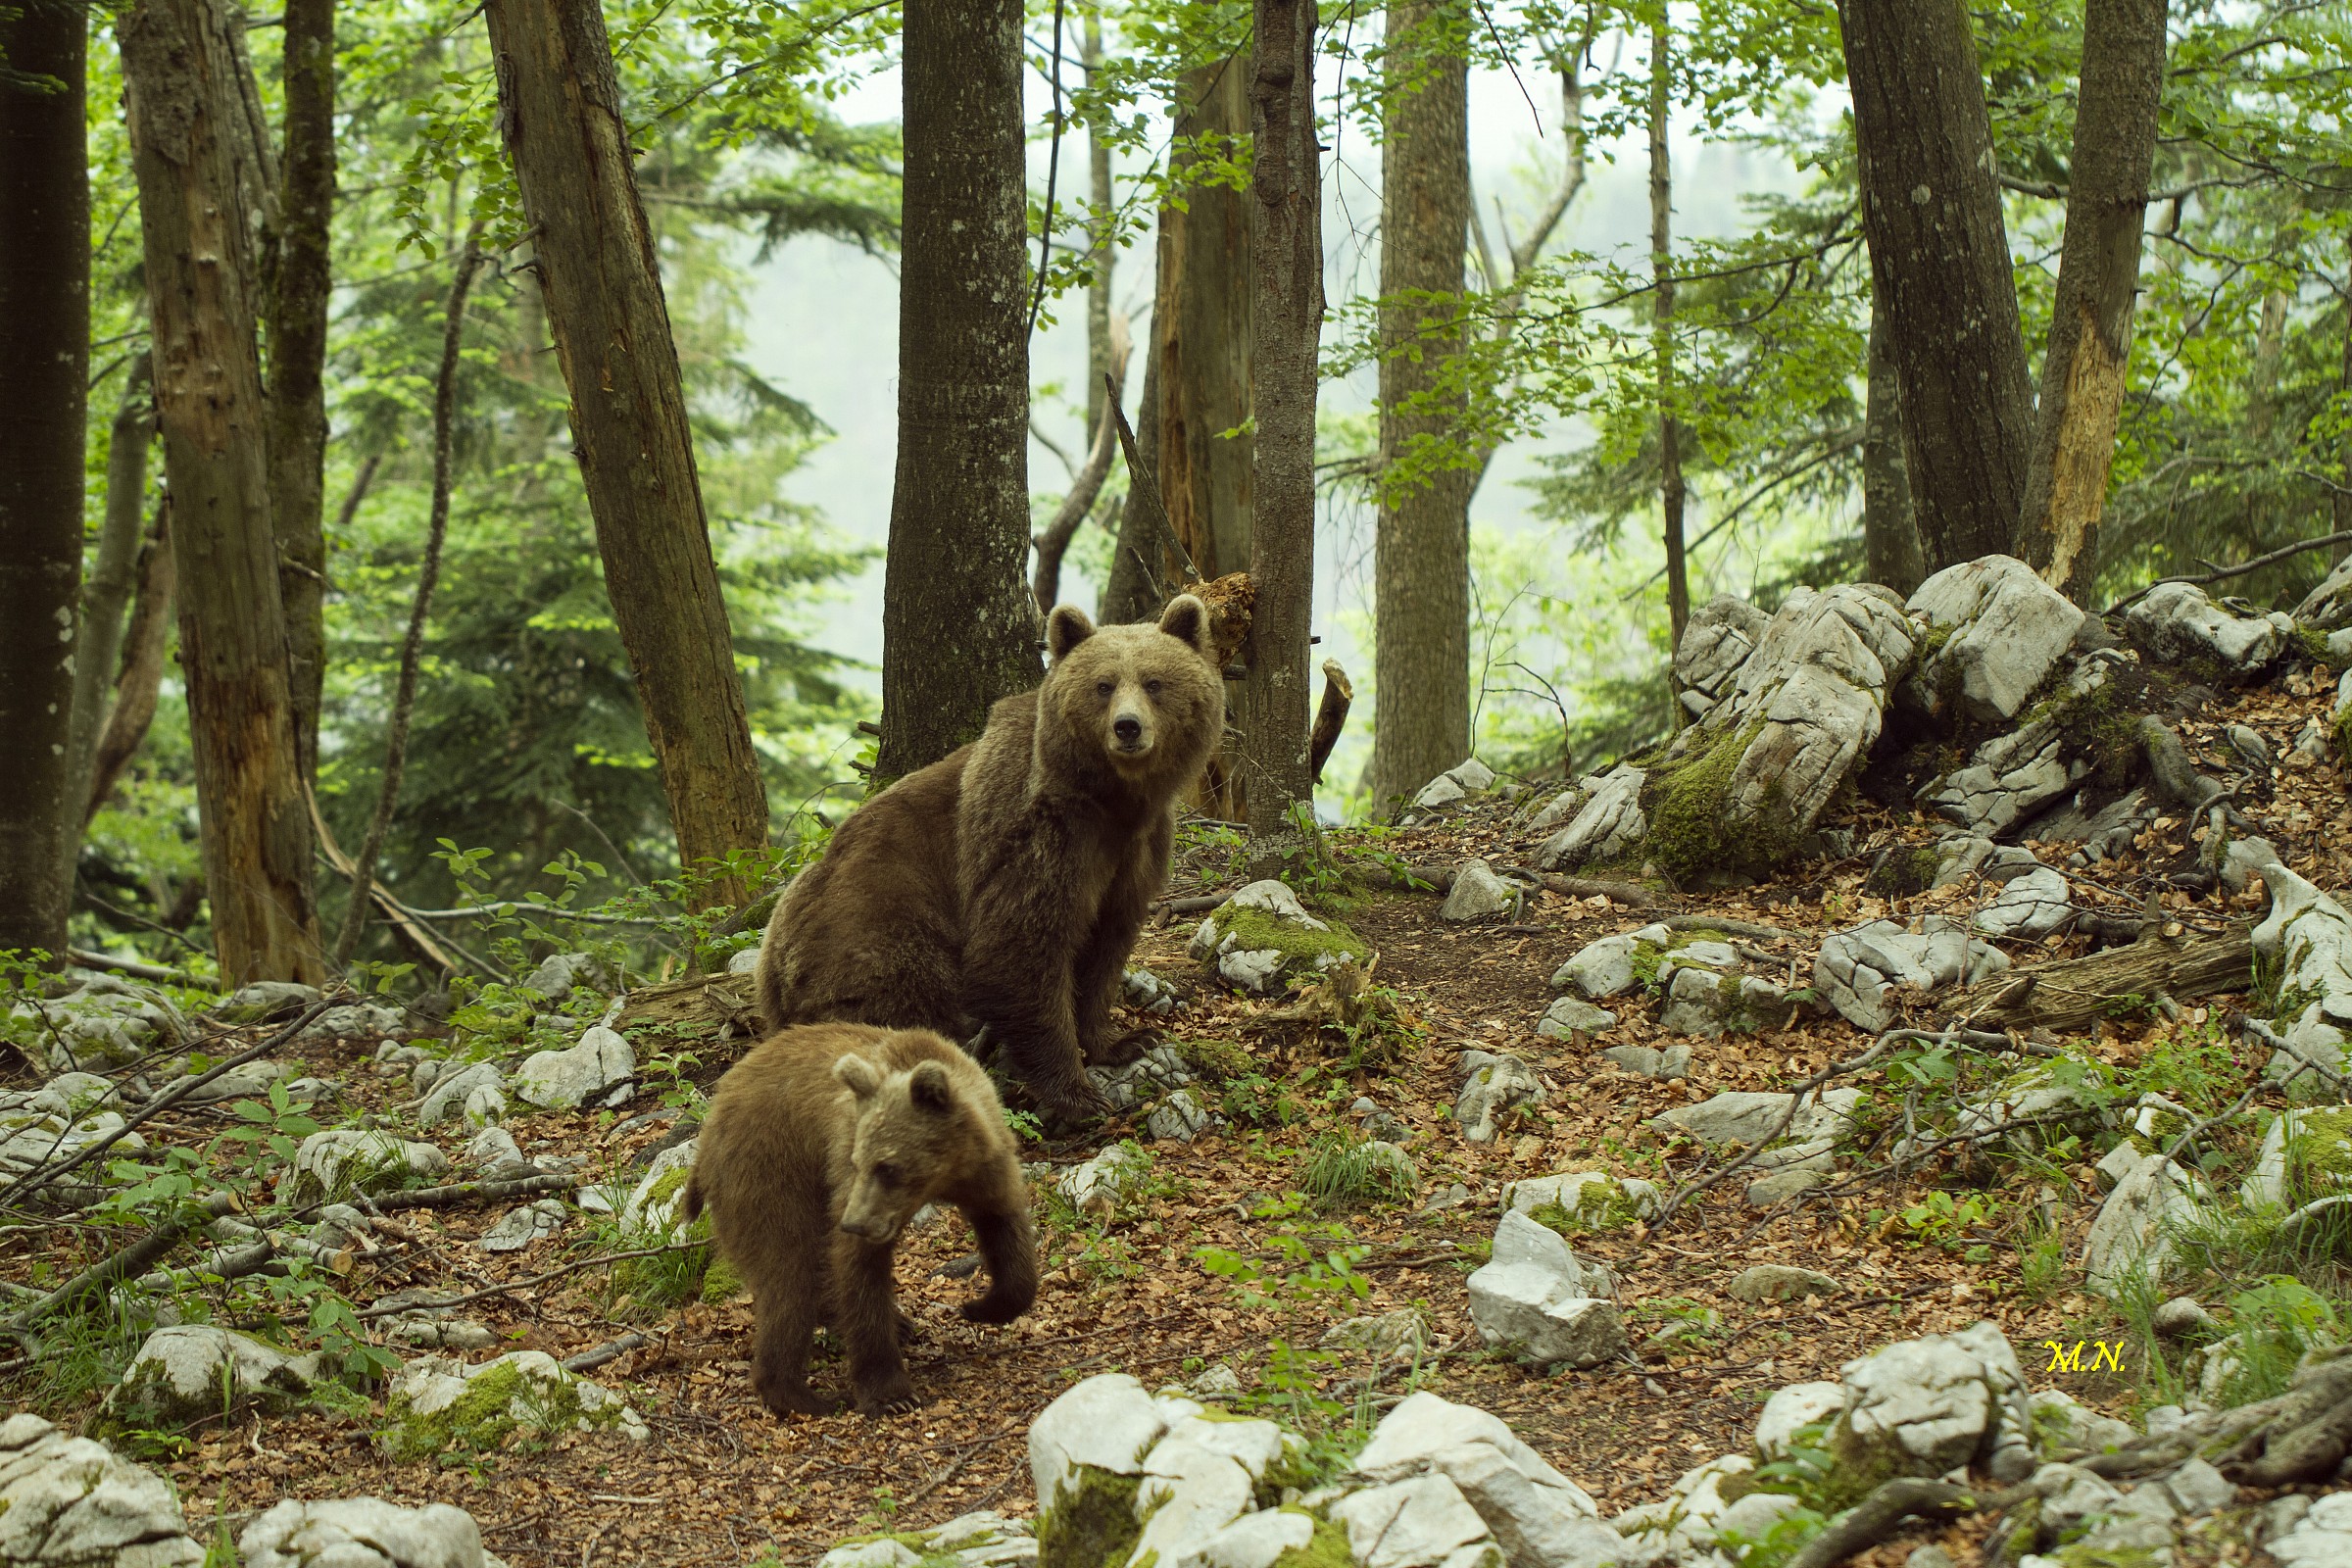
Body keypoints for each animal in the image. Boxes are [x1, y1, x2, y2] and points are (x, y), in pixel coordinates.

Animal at [680, 1021, 1037, 1417]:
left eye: (888, 1166)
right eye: (859, 1160)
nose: (854, 1224)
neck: (942, 1177)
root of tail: (709, 1125)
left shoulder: (986, 1167)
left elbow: (1006, 1230)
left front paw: (982, 1306)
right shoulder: (845, 1168)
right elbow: (858, 1268)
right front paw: (891, 1394)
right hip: (771, 1170)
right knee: (791, 1272)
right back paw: (805, 1394)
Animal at [753, 594, 1226, 1120]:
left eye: (1154, 682)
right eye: (1103, 685)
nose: (1128, 727)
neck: (1112, 799)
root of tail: (770, 965)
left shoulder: (1135, 848)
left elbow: (1107, 941)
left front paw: (1123, 1040)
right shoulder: (1035, 832)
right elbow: (1020, 947)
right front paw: (1077, 1094)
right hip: (876, 931)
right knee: (900, 1007)